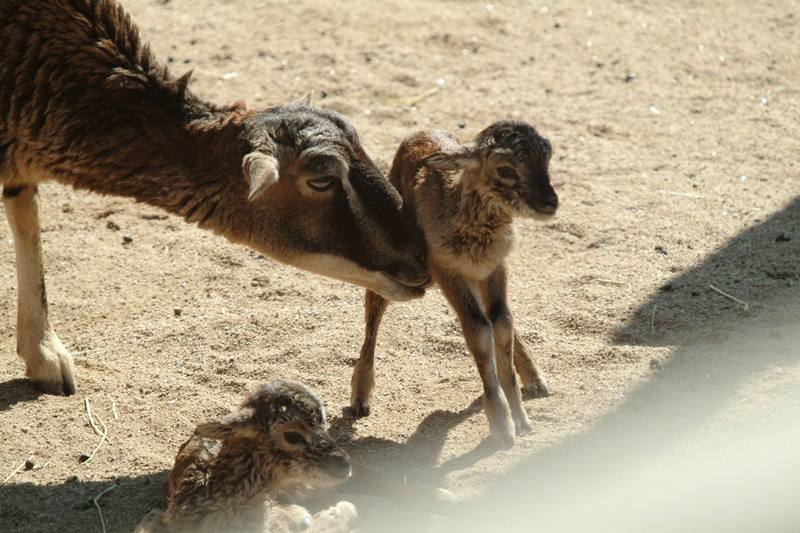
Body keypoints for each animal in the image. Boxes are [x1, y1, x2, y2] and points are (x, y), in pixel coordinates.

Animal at [352, 121, 564, 444]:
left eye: (547, 157)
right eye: (504, 169)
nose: (550, 202)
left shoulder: (494, 268)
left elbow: (502, 323)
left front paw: (521, 419)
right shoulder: (447, 270)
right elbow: (477, 330)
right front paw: (502, 427)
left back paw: (536, 381)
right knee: (373, 311)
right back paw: (361, 400)